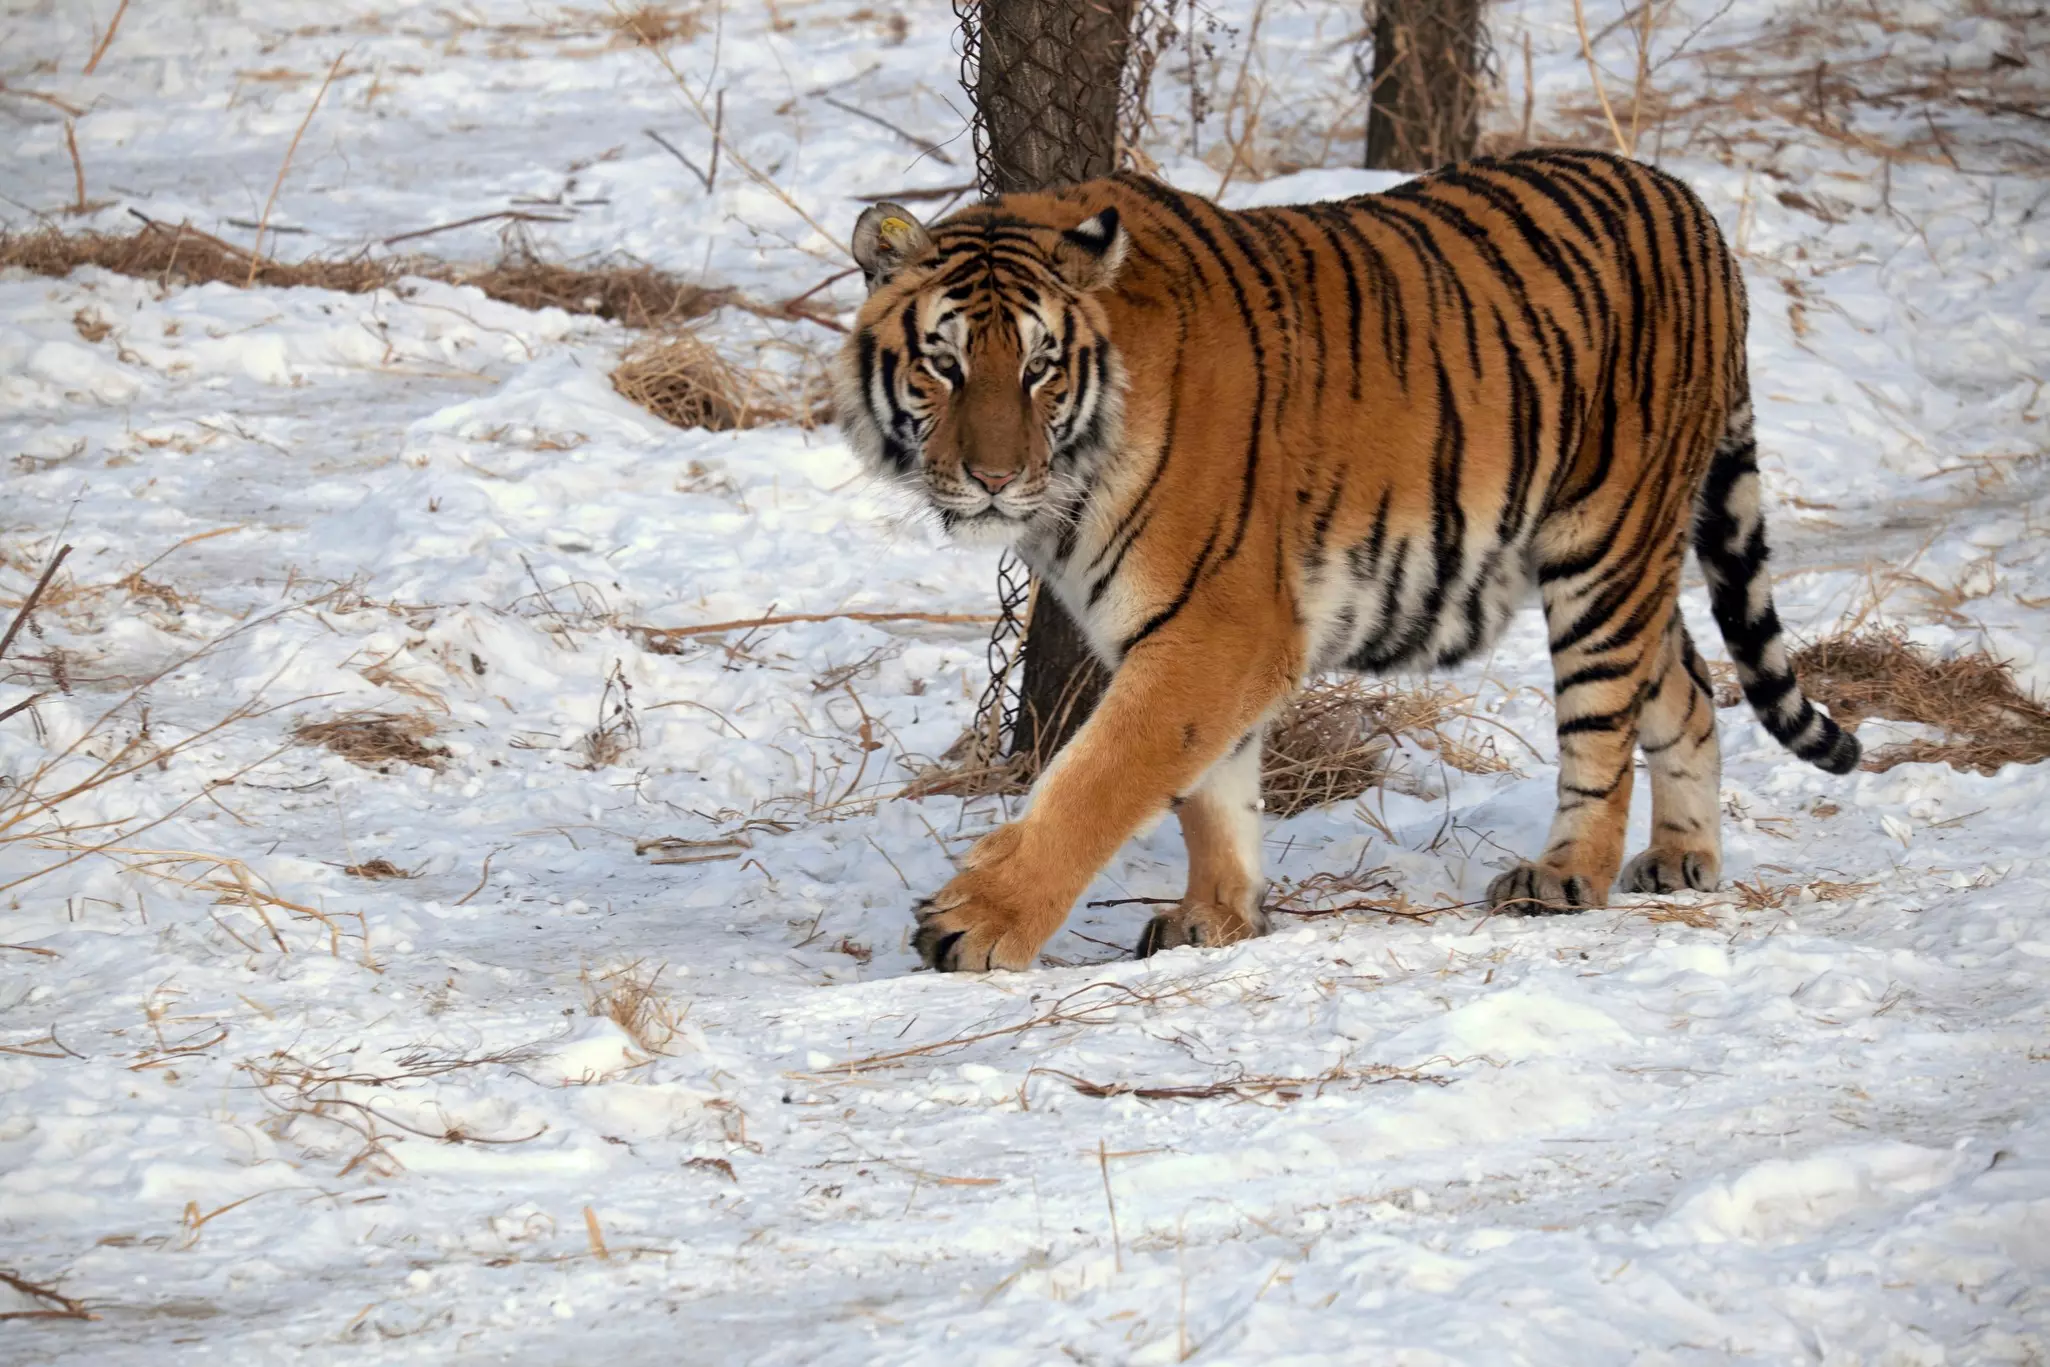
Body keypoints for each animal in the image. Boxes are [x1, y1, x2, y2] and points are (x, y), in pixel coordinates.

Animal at [834, 148, 1859, 973]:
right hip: (1634, 554)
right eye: (944, 364)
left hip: (1604, 539)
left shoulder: (1220, 622)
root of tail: (1690, 204)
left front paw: (977, 922)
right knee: (1685, 684)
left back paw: (1566, 874)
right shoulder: (1195, 629)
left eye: (1041, 367)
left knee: (1604, 722)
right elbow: (1210, 790)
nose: (995, 477)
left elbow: (1101, 777)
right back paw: (1683, 856)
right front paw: (1217, 917)